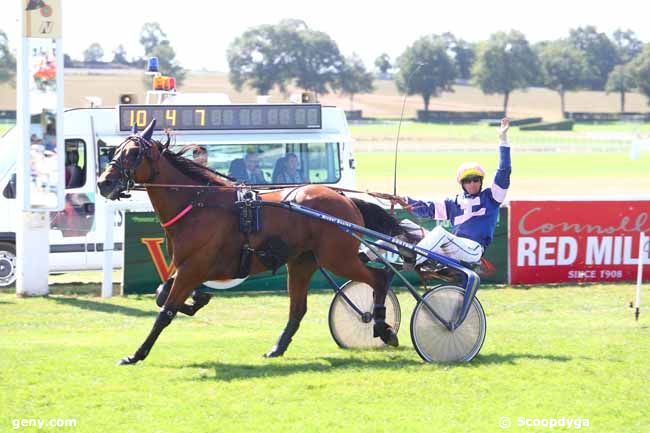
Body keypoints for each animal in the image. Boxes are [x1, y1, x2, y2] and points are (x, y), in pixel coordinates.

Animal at [95, 120, 400, 362]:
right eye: (116, 150)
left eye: (134, 153)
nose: (103, 183)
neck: (198, 205)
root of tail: (344, 198)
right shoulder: (187, 267)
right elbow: (161, 295)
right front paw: (198, 300)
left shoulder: (192, 269)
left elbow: (165, 312)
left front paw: (136, 355)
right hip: (302, 262)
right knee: (298, 308)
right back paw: (277, 348)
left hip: (337, 258)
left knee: (378, 278)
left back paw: (382, 327)